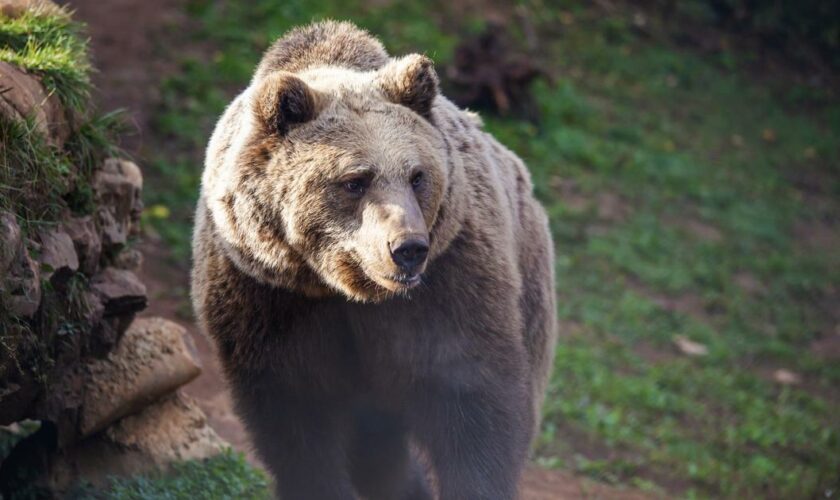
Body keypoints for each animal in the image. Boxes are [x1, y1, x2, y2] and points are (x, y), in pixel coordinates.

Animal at [191, 20, 556, 500]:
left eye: (417, 176)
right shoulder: (267, 298)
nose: (408, 248)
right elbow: (296, 424)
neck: (344, 290)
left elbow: (476, 403)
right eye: (355, 180)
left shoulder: (452, 285)